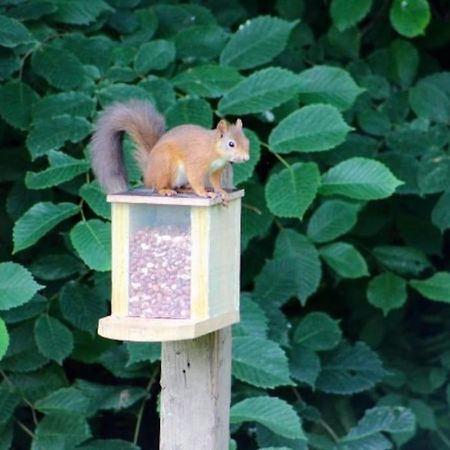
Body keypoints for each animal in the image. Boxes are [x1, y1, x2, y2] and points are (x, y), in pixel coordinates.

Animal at [90, 102, 250, 200]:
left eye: (247, 141)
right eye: (231, 144)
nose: (246, 158)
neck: (214, 150)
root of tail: (148, 173)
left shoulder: (216, 170)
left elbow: (216, 182)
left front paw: (221, 191)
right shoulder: (195, 163)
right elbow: (196, 179)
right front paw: (204, 193)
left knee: (178, 186)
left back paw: (187, 189)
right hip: (166, 165)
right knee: (159, 186)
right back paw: (165, 190)